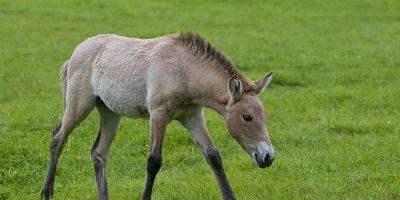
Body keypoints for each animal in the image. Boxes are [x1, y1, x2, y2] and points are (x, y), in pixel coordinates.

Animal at [40, 33, 276, 200]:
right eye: (247, 117)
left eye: (264, 115)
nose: (268, 157)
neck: (183, 71)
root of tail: (76, 53)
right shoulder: (158, 114)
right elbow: (154, 161)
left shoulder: (192, 117)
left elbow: (213, 156)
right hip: (78, 106)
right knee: (58, 139)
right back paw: (46, 192)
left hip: (110, 113)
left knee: (99, 153)